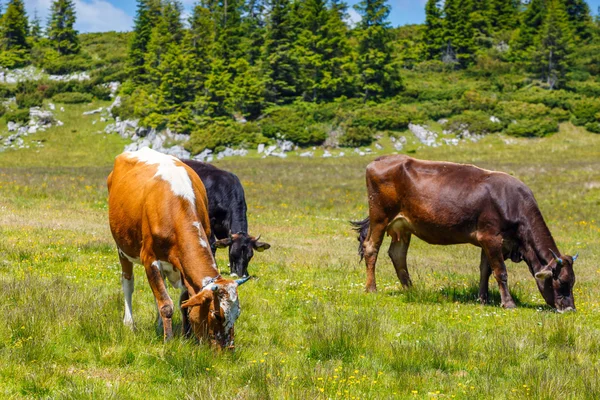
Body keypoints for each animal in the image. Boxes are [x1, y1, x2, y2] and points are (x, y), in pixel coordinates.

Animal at [108, 147, 251, 346]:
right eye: (217, 315)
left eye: (237, 314)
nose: (228, 348)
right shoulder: (149, 260)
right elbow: (166, 305)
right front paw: (168, 341)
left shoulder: (183, 265)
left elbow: (182, 302)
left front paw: (186, 337)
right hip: (122, 248)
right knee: (128, 283)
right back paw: (129, 323)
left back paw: (159, 324)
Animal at [352, 155, 576, 312]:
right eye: (561, 282)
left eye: (573, 282)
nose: (570, 309)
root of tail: (379, 160)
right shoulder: (491, 237)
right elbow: (501, 272)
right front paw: (509, 303)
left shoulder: (490, 241)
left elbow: (485, 270)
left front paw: (483, 299)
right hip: (380, 216)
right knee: (371, 247)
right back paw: (371, 288)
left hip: (403, 226)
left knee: (398, 254)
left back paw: (411, 289)